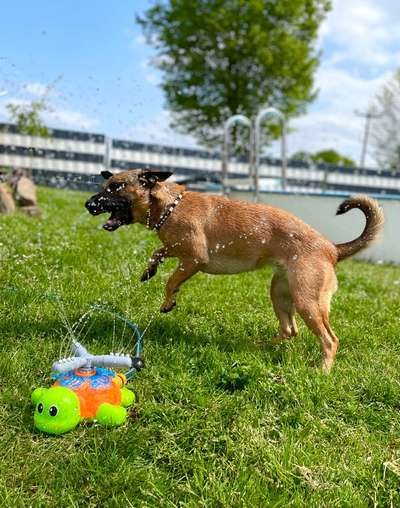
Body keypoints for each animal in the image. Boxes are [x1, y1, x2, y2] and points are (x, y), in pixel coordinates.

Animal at [85, 169, 384, 372]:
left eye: (117, 186)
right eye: (105, 185)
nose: (88, 204)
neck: (170, 205)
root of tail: (332, 249)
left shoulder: (193, 258)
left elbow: (171, 281)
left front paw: (168, 301)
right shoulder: (176, 249)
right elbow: (158, 253)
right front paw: (149, 271)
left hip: (307, 301)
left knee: (330, 340)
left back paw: (322, 370)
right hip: (280, 293)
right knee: (290, 330)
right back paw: (258, 347)